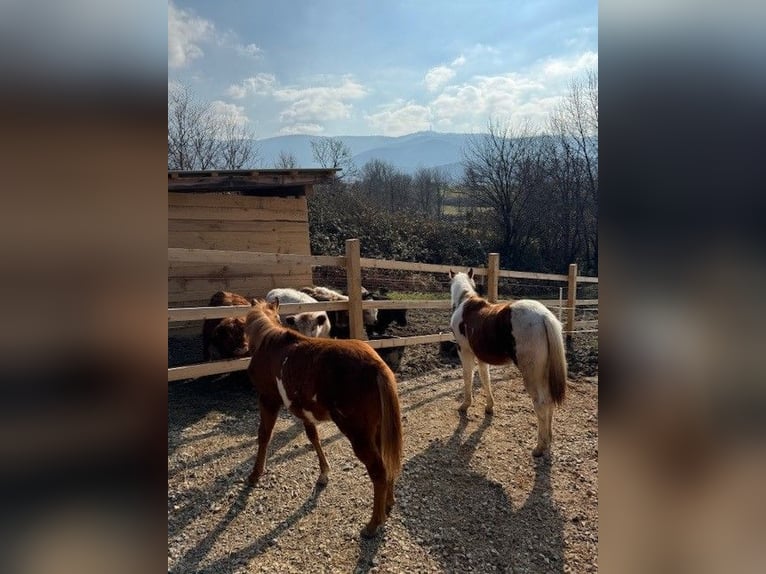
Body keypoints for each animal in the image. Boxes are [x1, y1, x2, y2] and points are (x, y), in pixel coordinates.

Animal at [246, 300, 404, 536]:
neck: (269, 341)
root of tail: (377, 365)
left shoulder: (268, 400)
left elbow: (264, 435)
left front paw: (255, 473)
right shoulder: (303, 409)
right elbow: (313, 437)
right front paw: (323, 474)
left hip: (358, 434)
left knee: (378, 471)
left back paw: (373, 523)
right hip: (376, 430)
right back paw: (388, 502)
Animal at [448, 270, 568, 460]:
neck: (465, 303)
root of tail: (543, 316)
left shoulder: (464, 351)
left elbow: (468, 378)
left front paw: (465, 405)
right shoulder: (481, 357)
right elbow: (485, 379)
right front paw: (489, 407)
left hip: (531, 375)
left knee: (541, 403)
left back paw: (539, 448)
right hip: (542, 374)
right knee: (548, 401)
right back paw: (548, 440)